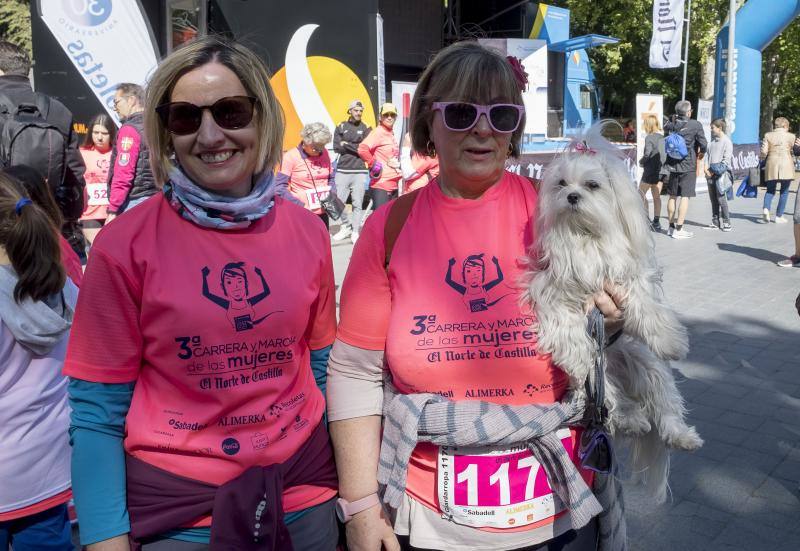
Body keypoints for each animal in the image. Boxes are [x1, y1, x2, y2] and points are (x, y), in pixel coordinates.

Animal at [528, 126, 704, 504]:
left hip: (645, 365)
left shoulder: (626, 278)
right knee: (611, 401)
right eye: (561, 183)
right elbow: (570, 336)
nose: (572, 197)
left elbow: (645, 306)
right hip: (598, 382)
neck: (585, 236)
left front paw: (671, 341)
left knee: (665, 406)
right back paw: (632, 418)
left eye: (592, 185)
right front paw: (577, 351)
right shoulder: (552, 294)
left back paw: (681, 435)